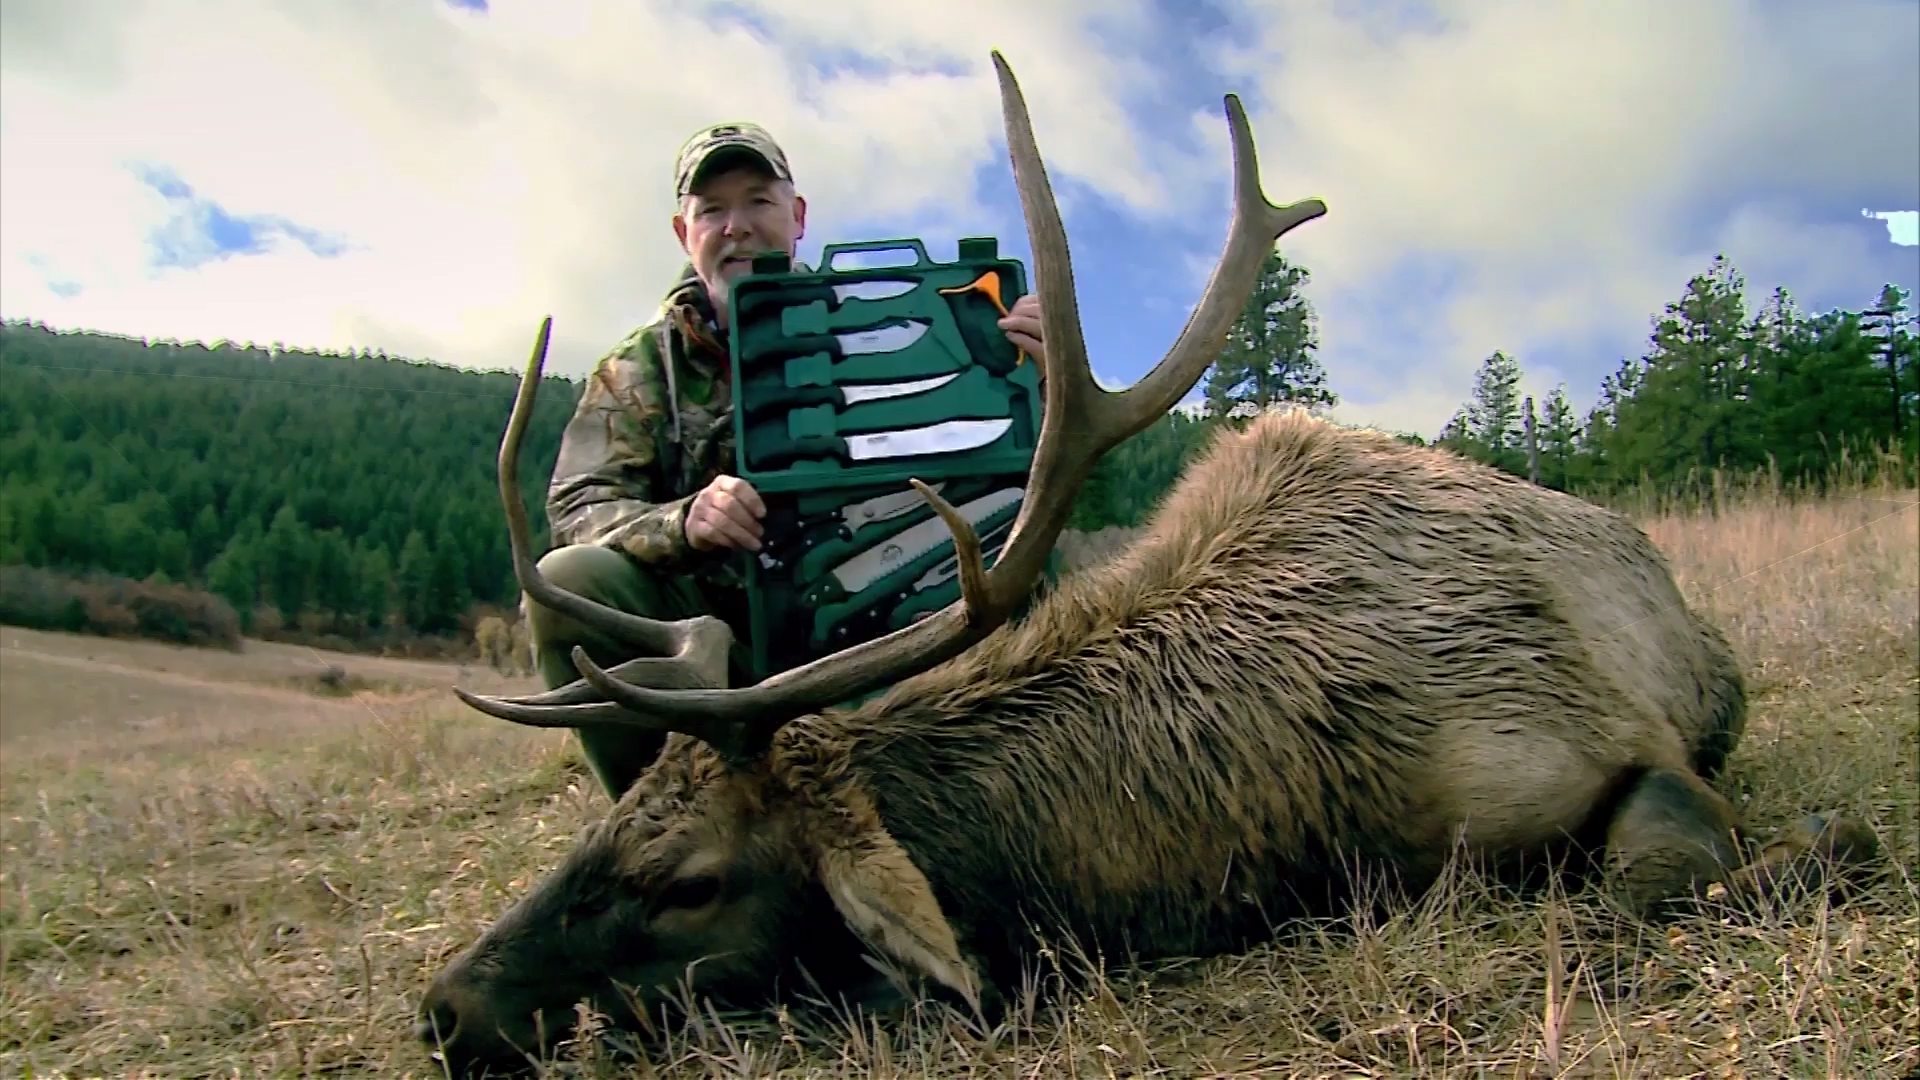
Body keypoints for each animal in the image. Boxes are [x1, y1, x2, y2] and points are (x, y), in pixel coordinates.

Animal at [415, 51, 1877, 1076]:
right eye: (607, 825)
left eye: (690, 883)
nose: (445, 1006)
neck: (1285, 824)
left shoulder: (1604, 744)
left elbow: (1666, 880)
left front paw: (1819, 843)